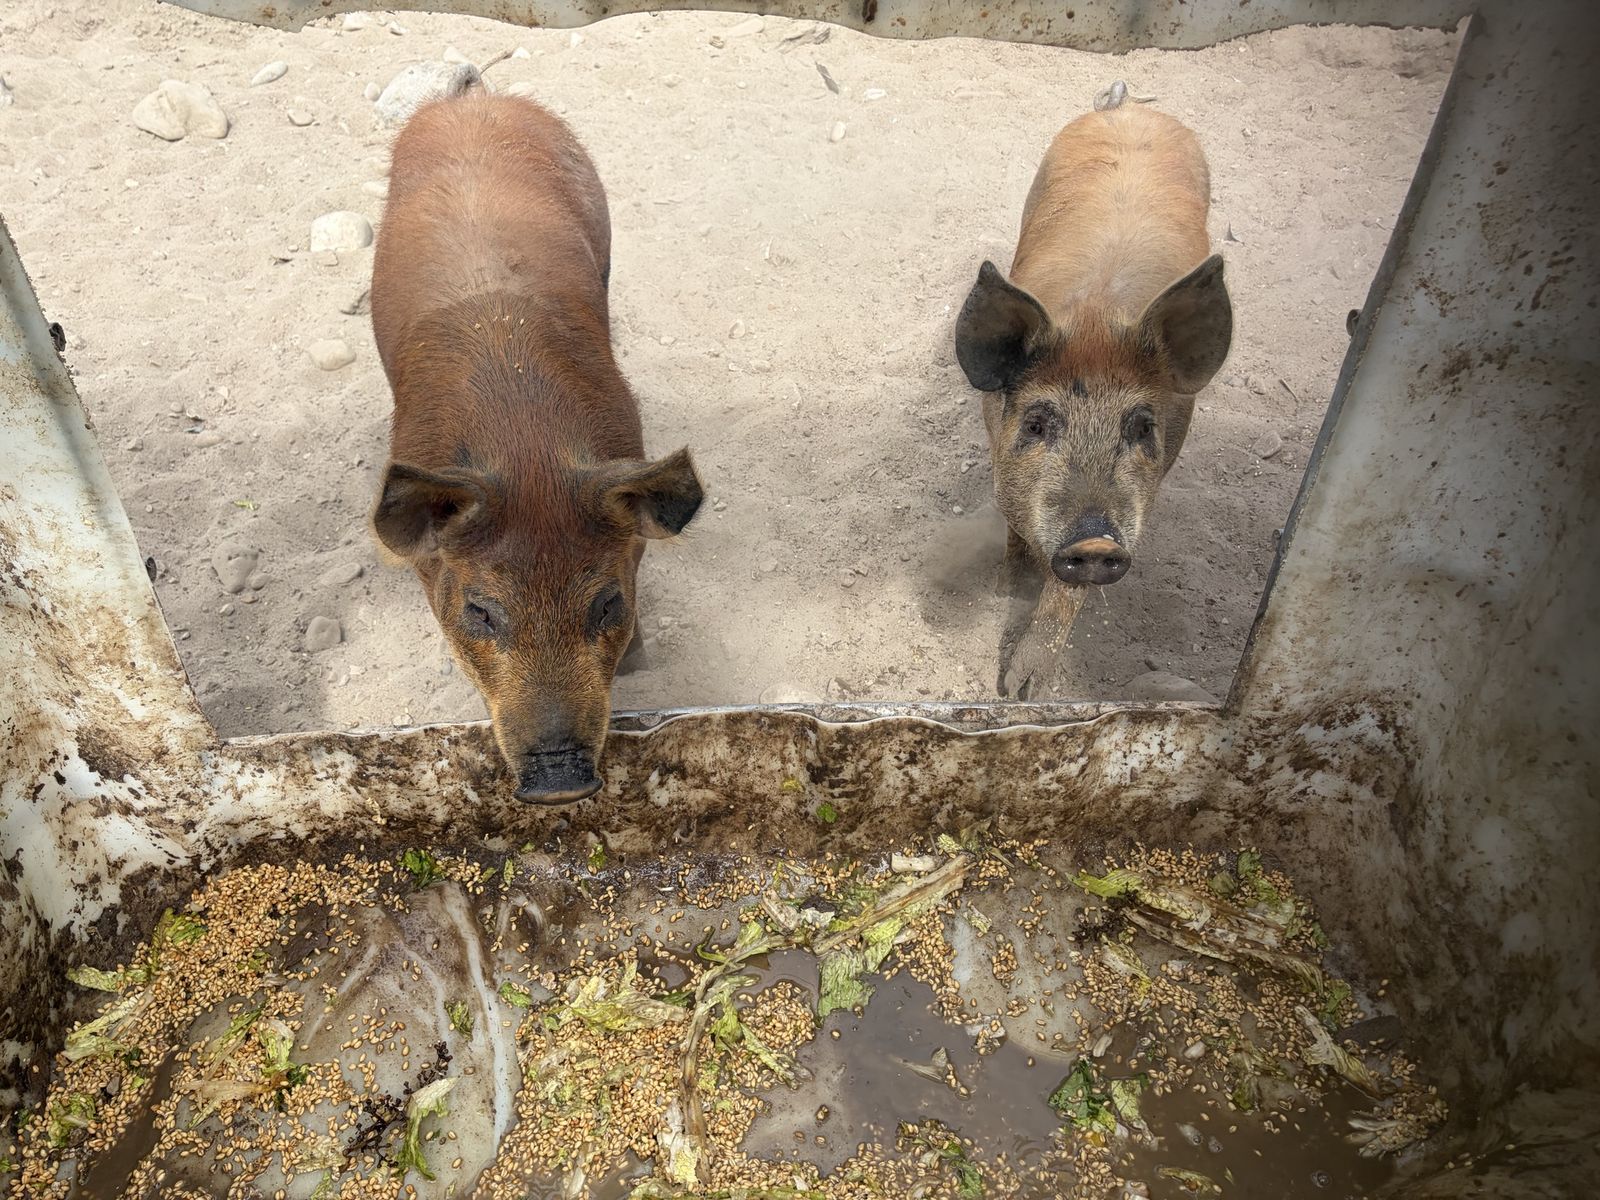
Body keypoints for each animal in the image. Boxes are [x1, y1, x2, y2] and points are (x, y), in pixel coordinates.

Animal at [954, 85, 1232, 696]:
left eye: (1142, 426)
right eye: (1037, 423)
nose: (1095, 543)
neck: (1096, 321)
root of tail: (1127, 106)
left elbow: (1070, 592)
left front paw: (1022, 692)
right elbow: (1014, 524)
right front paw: (1009, 586)